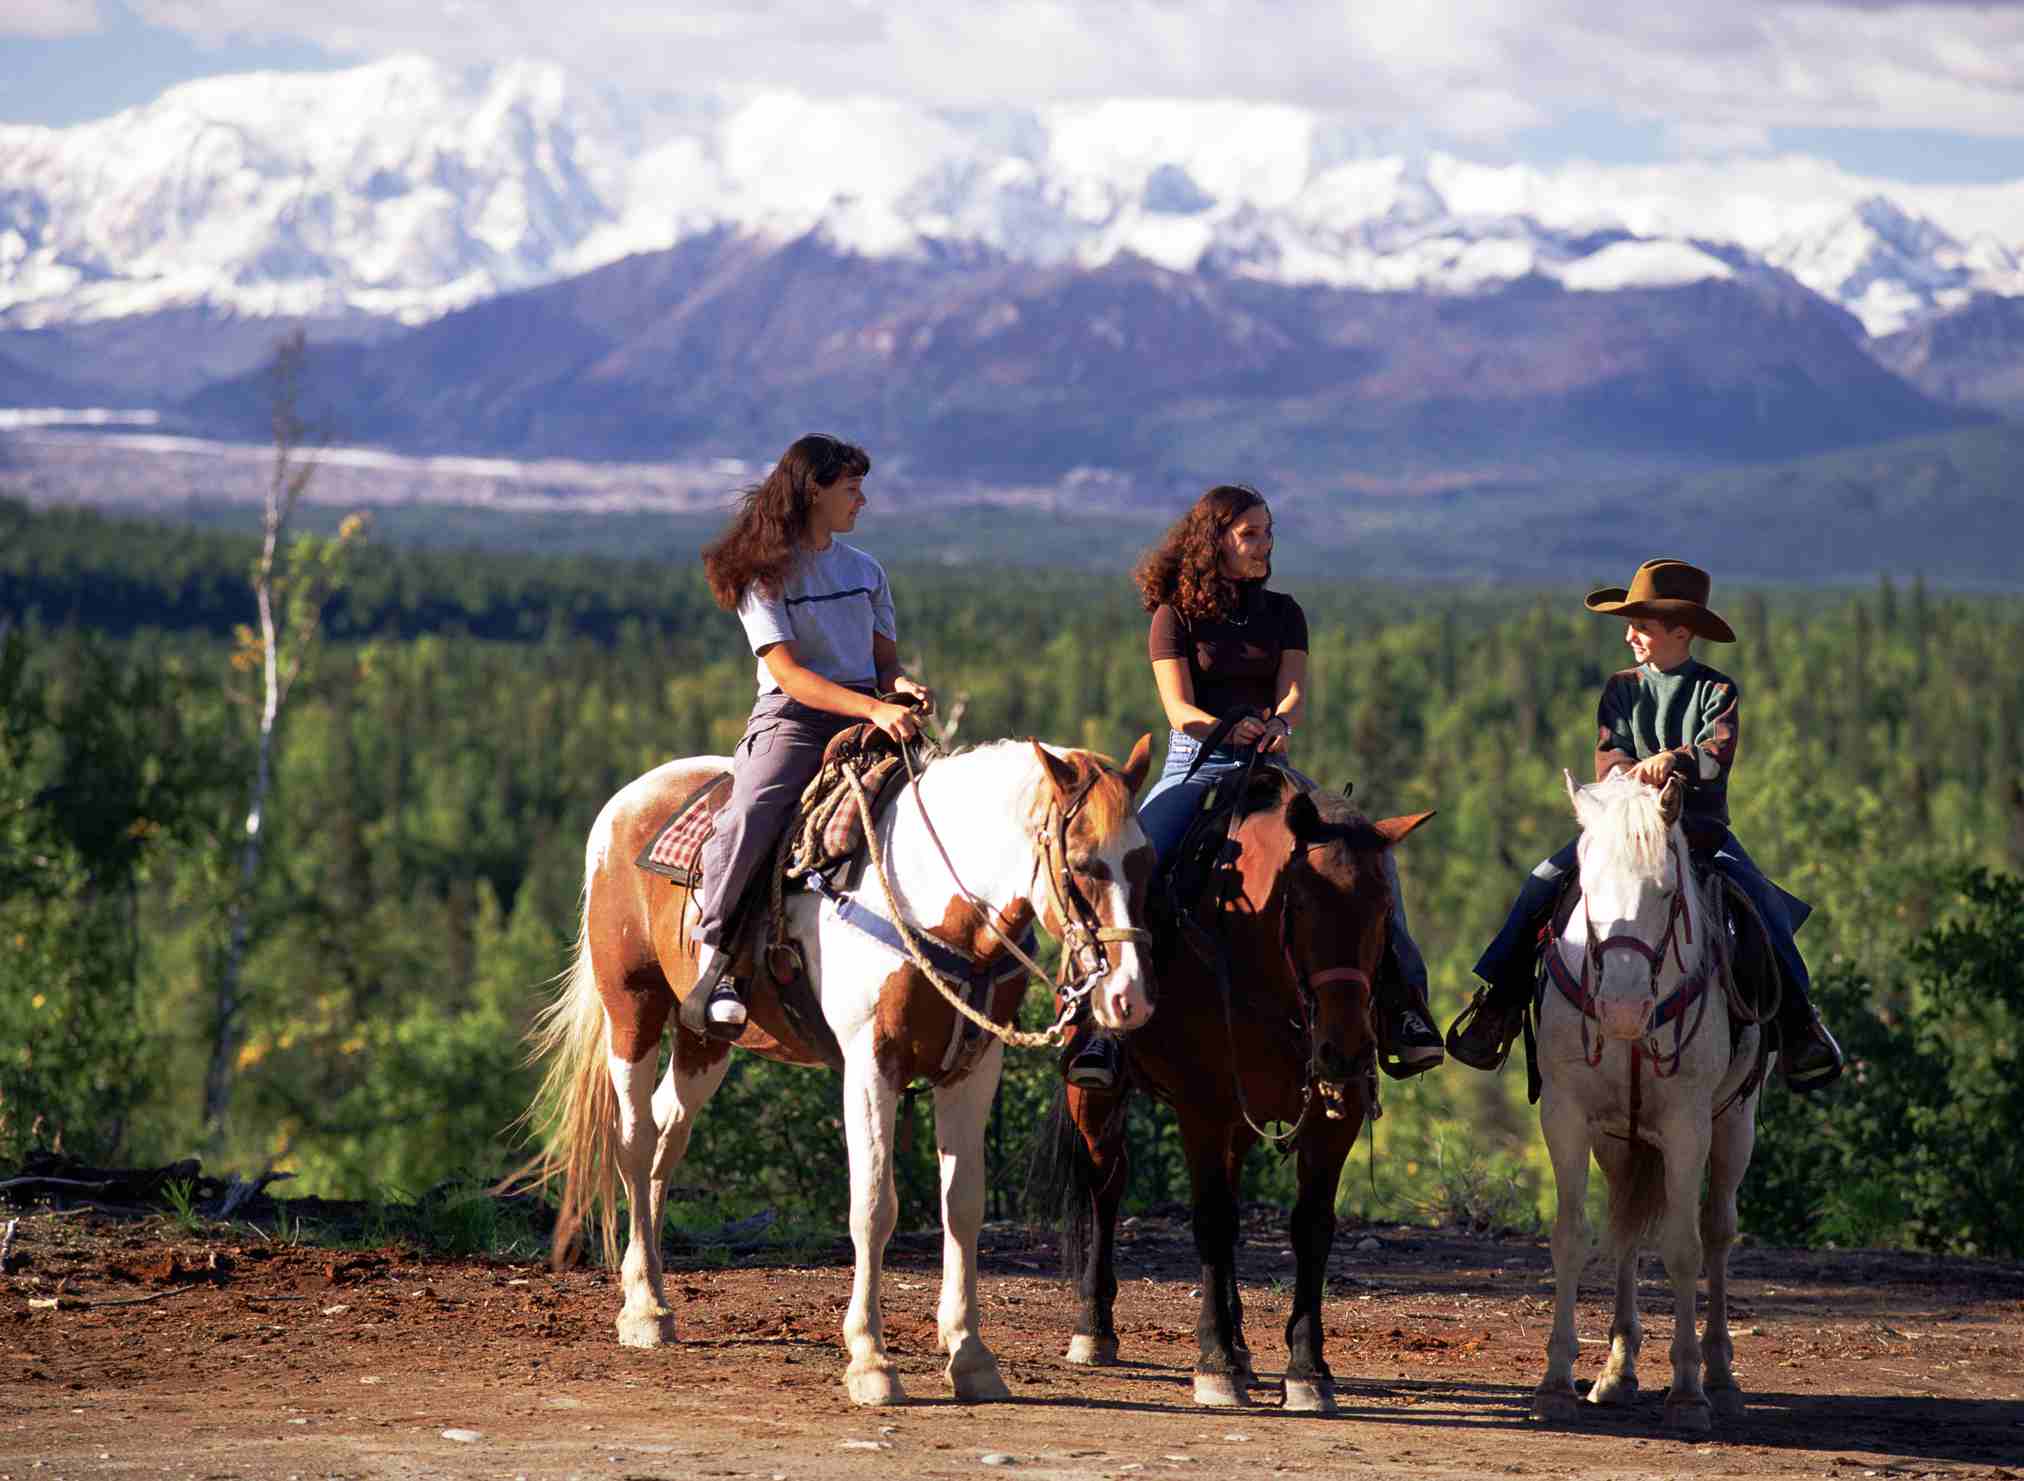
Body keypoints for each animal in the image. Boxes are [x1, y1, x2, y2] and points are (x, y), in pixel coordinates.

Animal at [514, 736, 1165, 1408]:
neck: (929, 899)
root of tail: (624, 803)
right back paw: (642, 1307)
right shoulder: (870, 1064)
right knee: (636, 1142)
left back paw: (660, 1298)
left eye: (1146, 864)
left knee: (669, 1134)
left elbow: (962, 1205)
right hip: (632, 1010)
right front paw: (870, 1360)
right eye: (1084, 864)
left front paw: (971, 1357)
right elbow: (874, 1206)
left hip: (703, 1039)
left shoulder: (973, 1068)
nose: (1130, 998)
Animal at [1044, 768, 1424, 1416]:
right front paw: (1215, 1364)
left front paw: (1307, 1370)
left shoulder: (1335, 1114)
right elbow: (1212, 1221)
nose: (1345, 1050)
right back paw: (1095, 1328)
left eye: (1383, 910)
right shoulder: (1204, 1108)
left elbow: (1310, 1225)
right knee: (1105, 1185)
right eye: (1302, 903)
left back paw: (1243, 1342)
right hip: (1094, 1099)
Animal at [1538, 768, 1764, 1432]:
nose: (1620, 1009)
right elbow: (1572, 1235)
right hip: (1620, 1143)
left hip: (1736, 1126)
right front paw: (1555, 1383)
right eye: (1587, 889)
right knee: (1627, 1229)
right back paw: (1617, 1374)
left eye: (1666, 893)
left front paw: (1688, 1392)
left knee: (1716, 1230)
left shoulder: (1689, 1126)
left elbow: (1684, 1247)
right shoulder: (1565, 1115)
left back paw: (1720, 1376)